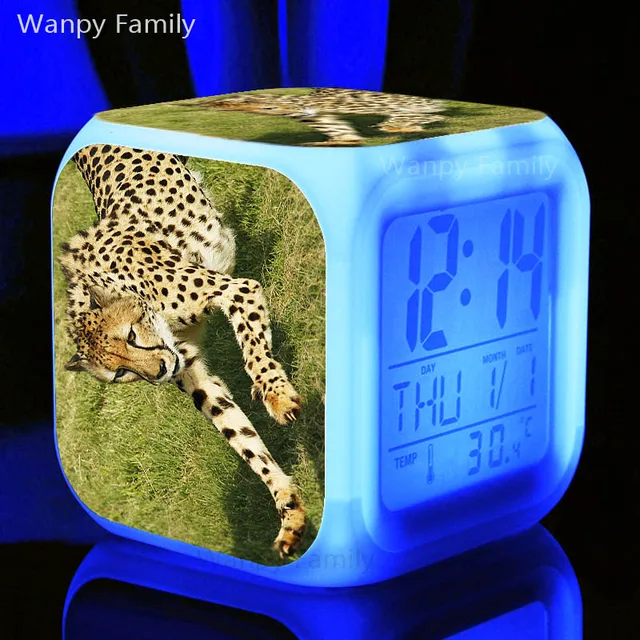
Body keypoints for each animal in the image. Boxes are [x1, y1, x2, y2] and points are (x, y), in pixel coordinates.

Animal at [58, 144, 306, 557]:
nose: (159, 371)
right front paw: (288, 509)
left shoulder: (237, 290)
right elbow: (241, 438)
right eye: (119, 373)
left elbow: (255, 353)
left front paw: (276, 395)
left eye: (130, 335)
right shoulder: (193, 372)